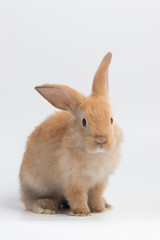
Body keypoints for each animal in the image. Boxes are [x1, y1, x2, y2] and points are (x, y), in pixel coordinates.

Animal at [19, 52, 123, 216]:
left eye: (111, 119)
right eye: (84, 121)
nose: (101, 141)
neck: (95, 154)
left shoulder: (99, 181)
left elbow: (95, 195)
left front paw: (99, 209)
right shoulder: (73, 180)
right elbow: (77, 196)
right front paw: (82, 212)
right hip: (34, 185)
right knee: (28, 201)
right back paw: (46, 207)